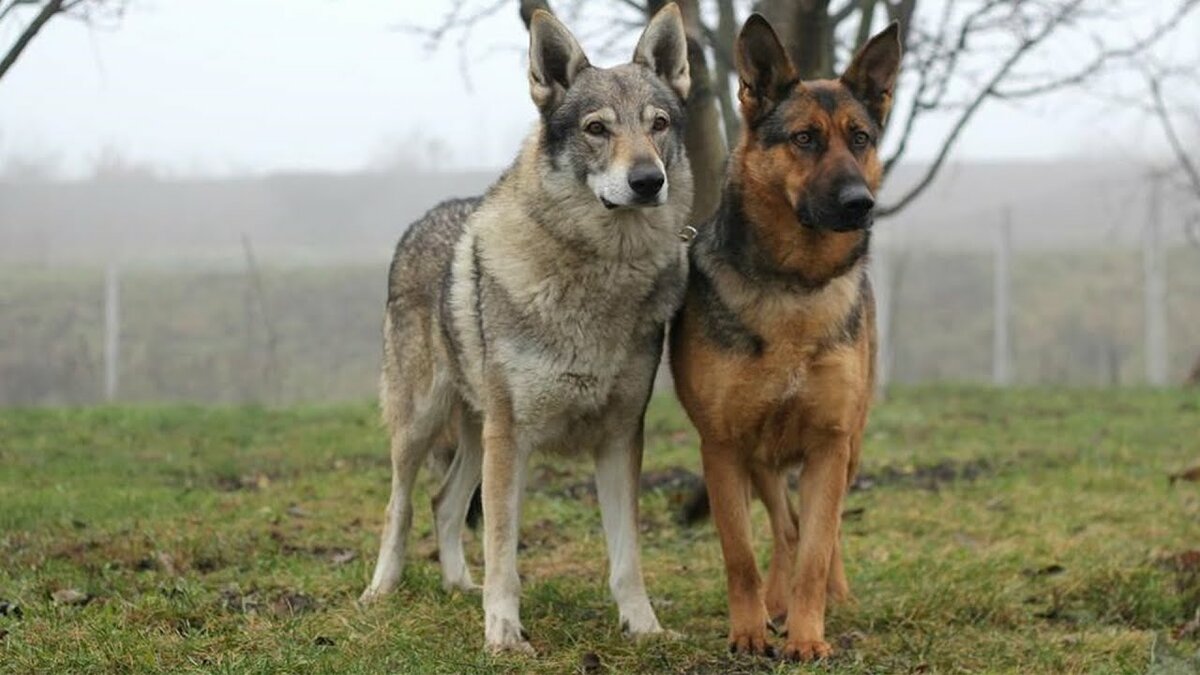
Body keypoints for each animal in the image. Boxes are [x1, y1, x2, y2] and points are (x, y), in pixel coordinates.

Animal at [357, 3, 696, 653]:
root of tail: (425, 216)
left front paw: (643, 627)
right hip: (423, 423)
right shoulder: (512, 438)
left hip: (475, 430)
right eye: (597, 128)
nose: (648, 180)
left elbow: (627, 557)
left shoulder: (621, 436)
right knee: (401, 506)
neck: (601, 274)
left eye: (659, 124)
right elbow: (504, 553)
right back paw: (380, 591)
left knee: (443, 502)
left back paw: (458, 587)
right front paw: (504, 635)